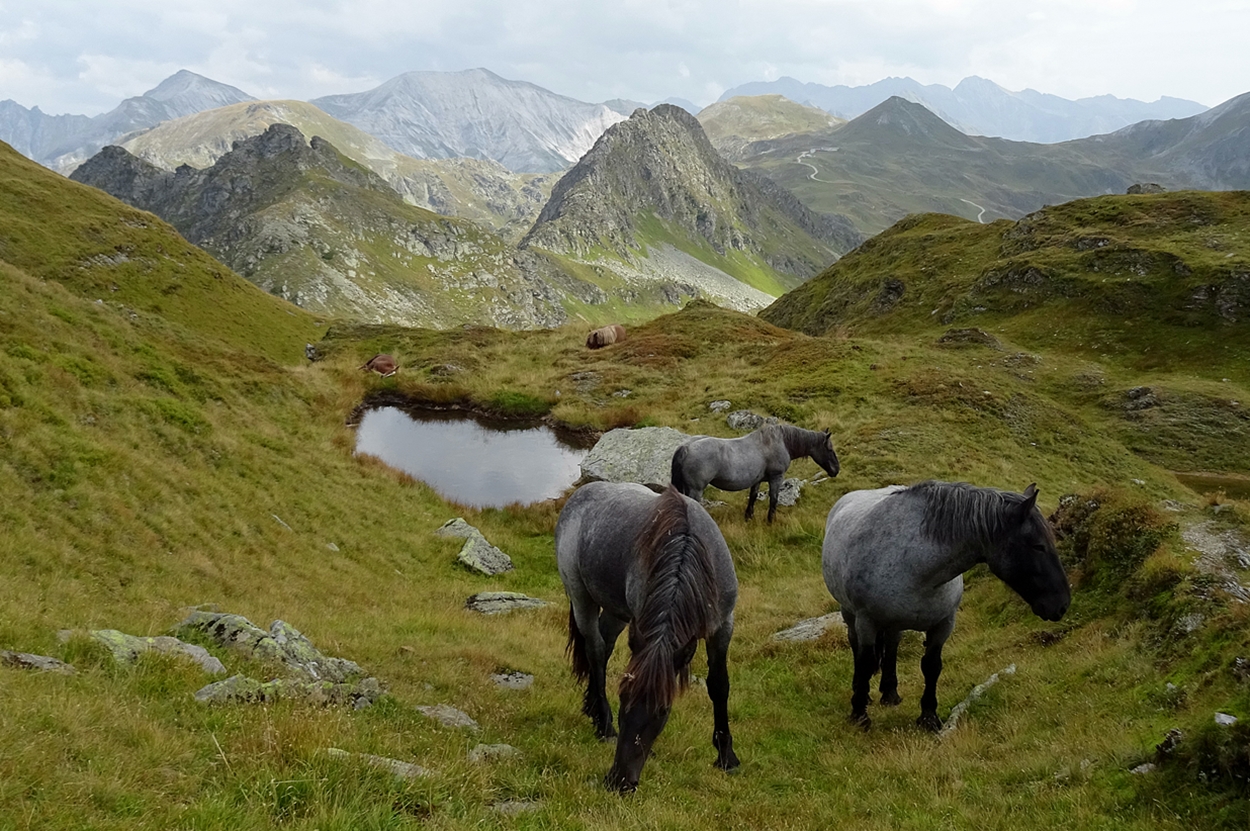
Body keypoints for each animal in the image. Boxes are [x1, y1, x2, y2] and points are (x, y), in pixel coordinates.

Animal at [555, 479, 735, 789]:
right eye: (623, 699)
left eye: (663, 710)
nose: (619, 781)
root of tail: (580, 494)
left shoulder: (723, 626)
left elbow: (719, 686)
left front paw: (726, 756)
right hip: (581, 598)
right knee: (595, 650)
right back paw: (603, 724)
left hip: (616, 611)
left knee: (603, 647)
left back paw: (592, 708)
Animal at [675, 424, 840, 522]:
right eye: (829, 449)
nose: (836, 470)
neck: (780, 442)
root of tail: (686, 447)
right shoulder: (776, 477)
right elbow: (774, 499)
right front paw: (770, 521)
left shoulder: (757, 480)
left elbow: (753, 497)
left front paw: (749, 517)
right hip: (696, 490)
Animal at [820, 479, 1075, 734]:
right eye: (1038, 546)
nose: (1062, 604)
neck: (915, 567)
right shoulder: (867, 621)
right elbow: (865, 662)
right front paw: (859, 714)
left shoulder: (943, 624)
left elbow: (931, 666)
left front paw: (928, 717)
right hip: (850, 614)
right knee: (856, 646)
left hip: (894, 622)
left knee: (892, 645)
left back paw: (890, 693)